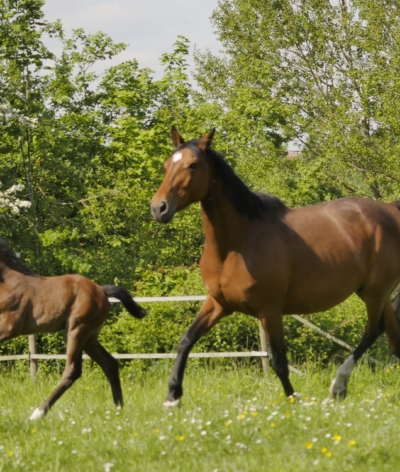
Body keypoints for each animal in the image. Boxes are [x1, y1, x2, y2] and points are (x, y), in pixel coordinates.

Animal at [0, 240, 145, 420]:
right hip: (89, 336)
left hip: (77, 329)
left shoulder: (9, 326)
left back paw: (37, 414)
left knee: (72, 370)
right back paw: (118, 409)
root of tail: (102, 291)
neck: (7, 282)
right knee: (109, 363)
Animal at [151, 128, 400, 406]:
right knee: (391, 334)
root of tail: (392, 209)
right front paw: (172, 397)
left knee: (373, 331)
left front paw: (293, 401)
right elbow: (186, 341)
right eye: (166, 165)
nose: (158, 208)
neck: (239, 243)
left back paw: (338, 385)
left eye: (193, 165)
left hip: (375, 293)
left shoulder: (269, 311)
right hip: (376, 293)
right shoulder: (218, 303)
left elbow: (280, 361)